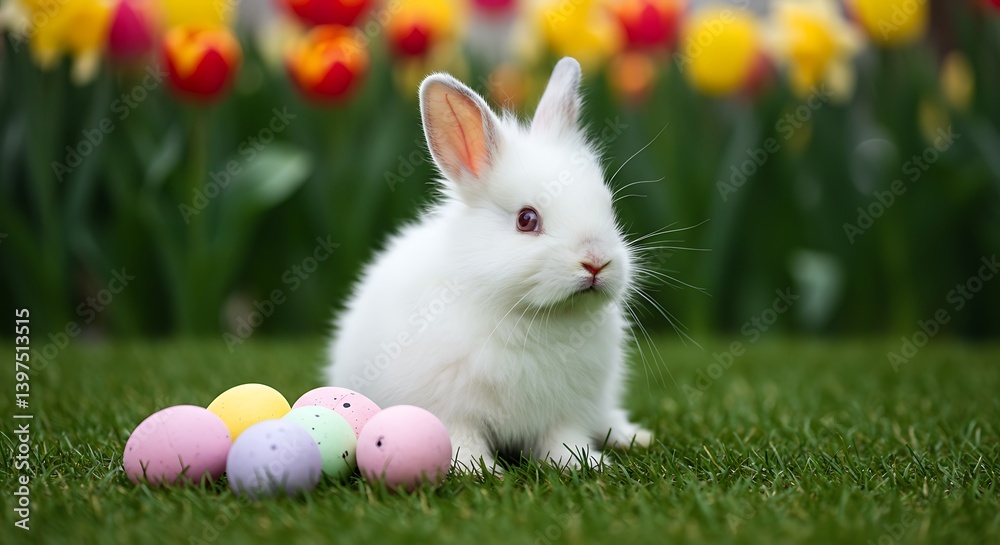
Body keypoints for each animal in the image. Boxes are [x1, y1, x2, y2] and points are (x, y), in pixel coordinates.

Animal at [325, 57, 653, 471]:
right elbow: (461, 438)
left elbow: (563, 440)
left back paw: (634, 437)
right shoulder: (450, 408)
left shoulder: (566, 412)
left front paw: (584, 464)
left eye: (608, 208)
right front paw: (478, 470)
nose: (596, 262)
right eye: (526, 219)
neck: (537, 318)